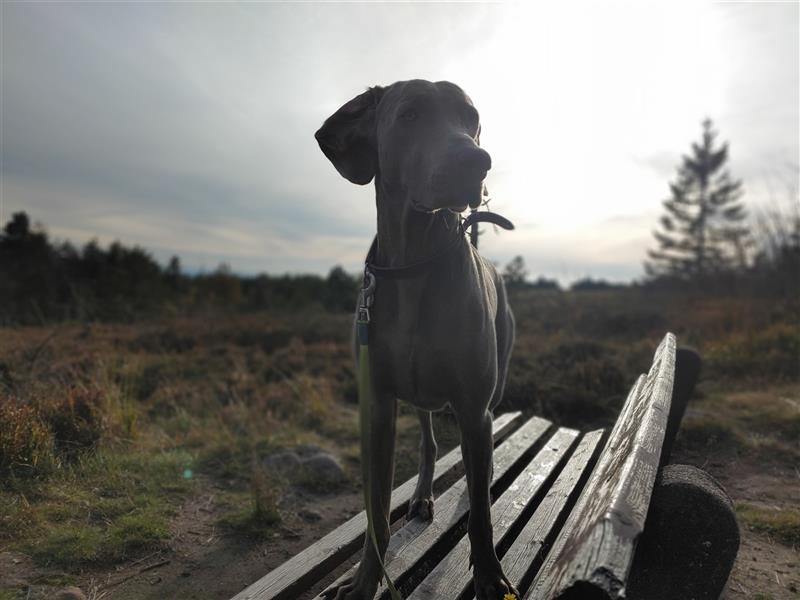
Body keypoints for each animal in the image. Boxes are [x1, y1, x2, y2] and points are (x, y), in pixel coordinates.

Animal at [316, 79, 516, 600]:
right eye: (409, 115)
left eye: (471, 117)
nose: (477, 161)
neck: (415, 261)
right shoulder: (378, 408)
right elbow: (377, 517)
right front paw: (362, 583)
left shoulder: (473, 407)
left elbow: (482, 517)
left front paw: (490, 576)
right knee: (427, 442)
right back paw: (424, 495)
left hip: (491, 391)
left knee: (480, 458)